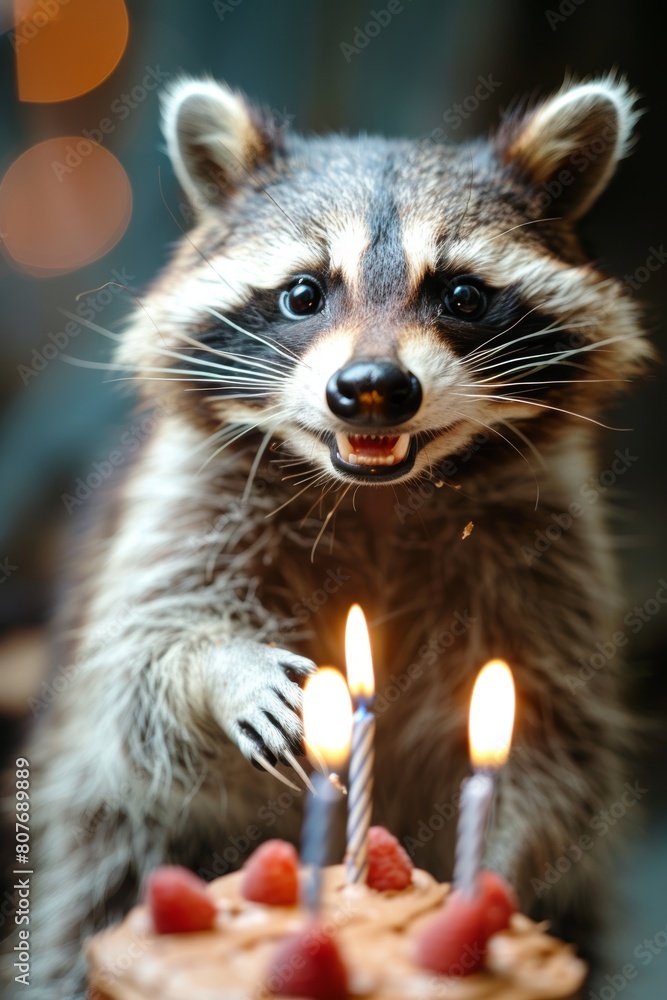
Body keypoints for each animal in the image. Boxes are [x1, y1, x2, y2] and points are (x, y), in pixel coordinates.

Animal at [5, 74, 651, 998]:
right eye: (304, 293)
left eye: (461, 295)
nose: (372, 388)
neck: (378, 494)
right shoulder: (184, 499)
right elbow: (139, 665)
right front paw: (219, 667)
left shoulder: (546, 545)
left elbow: (552, 745)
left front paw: (493, 886)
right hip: (104, 855)